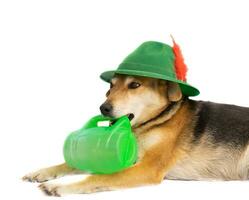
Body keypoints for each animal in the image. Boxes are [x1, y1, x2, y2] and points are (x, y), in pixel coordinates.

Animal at [21, 39, 249, 196]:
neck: (156, 120)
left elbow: (99, 176)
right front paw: (42, 172)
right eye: (110, 86)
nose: (103, 108)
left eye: (135, 85)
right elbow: (69, 164)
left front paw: (59, 185)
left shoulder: (148, 167)